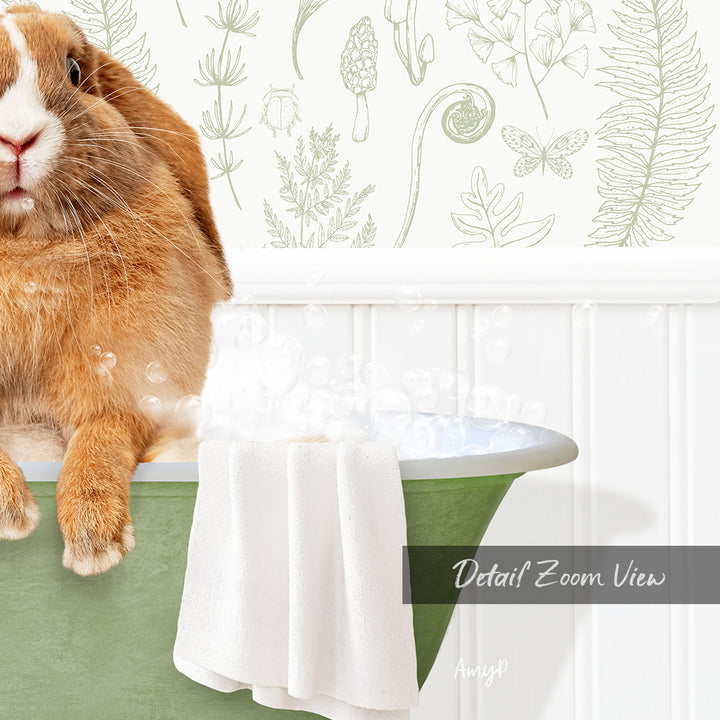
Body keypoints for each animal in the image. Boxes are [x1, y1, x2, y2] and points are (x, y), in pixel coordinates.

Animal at [0, 5, 232, 575]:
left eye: (74, 71)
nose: (17, 139)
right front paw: (14, 513)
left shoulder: (127, 387)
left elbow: (102, 435)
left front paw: (94, 539)